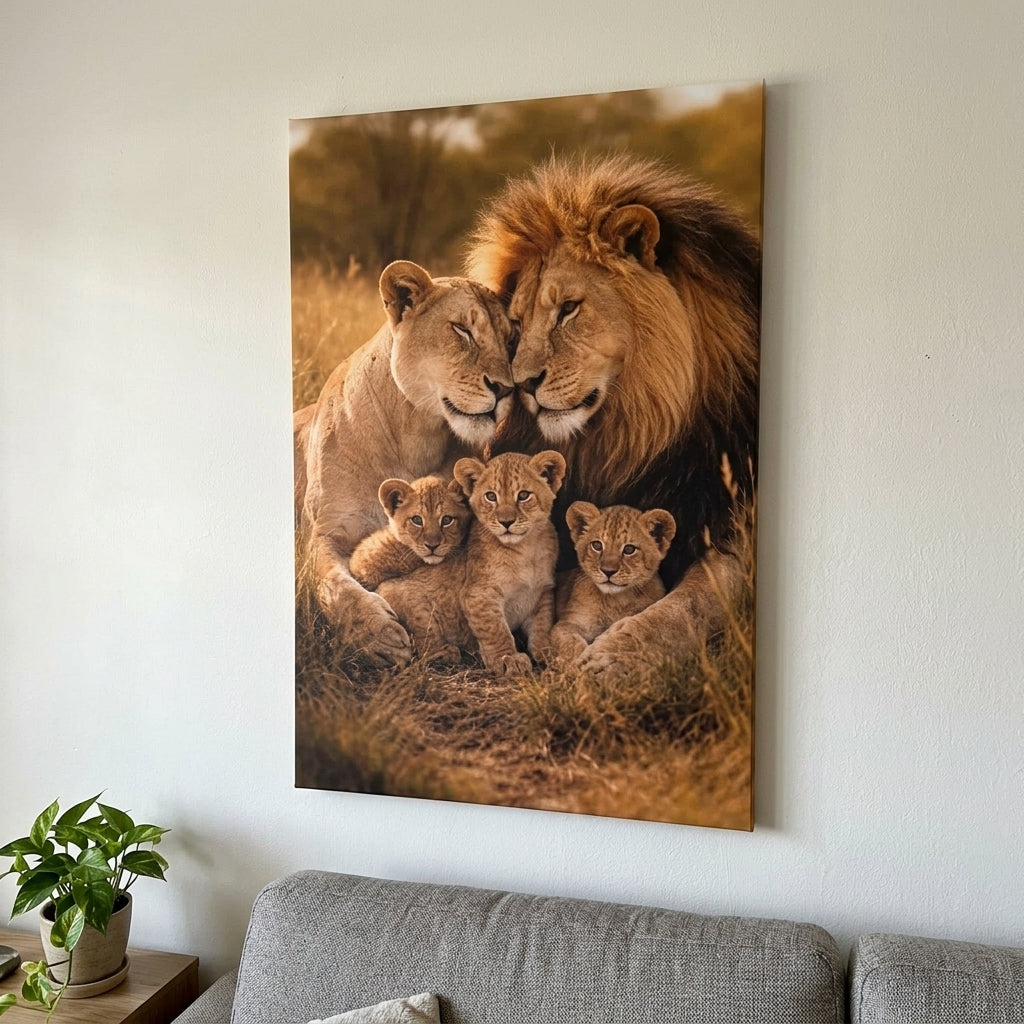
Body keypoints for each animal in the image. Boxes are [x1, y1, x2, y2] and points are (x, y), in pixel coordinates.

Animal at [295, 260, 515, 667]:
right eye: (462, 330)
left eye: (511, 341)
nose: (506, 389)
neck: (415, 436)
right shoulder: (324, 533)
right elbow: (333, 585)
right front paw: (379, 636)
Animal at [551, 502, 676, 662]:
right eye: (597, 545)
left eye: (629, 549)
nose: (608, 571)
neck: (615, 600)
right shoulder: (566, 624)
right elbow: (572, 643)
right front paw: (577, 663)